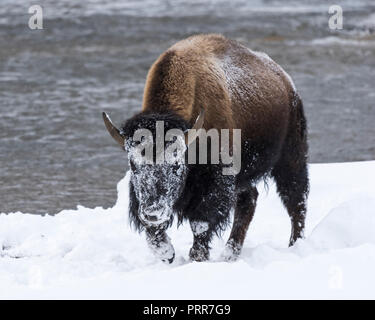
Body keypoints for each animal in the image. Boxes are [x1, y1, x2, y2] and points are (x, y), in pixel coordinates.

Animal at [103, 33, 308, 262]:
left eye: (176, 164)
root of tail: (287, 83)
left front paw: (197, 257)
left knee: (296, 200)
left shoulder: (215, 183)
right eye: (133, 164)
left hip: (290, 158)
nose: (153, 213)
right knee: (249, 201)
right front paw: (167, 253)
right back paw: (229, 254)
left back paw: (295, 245)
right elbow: (152, 231)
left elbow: (200, 223)